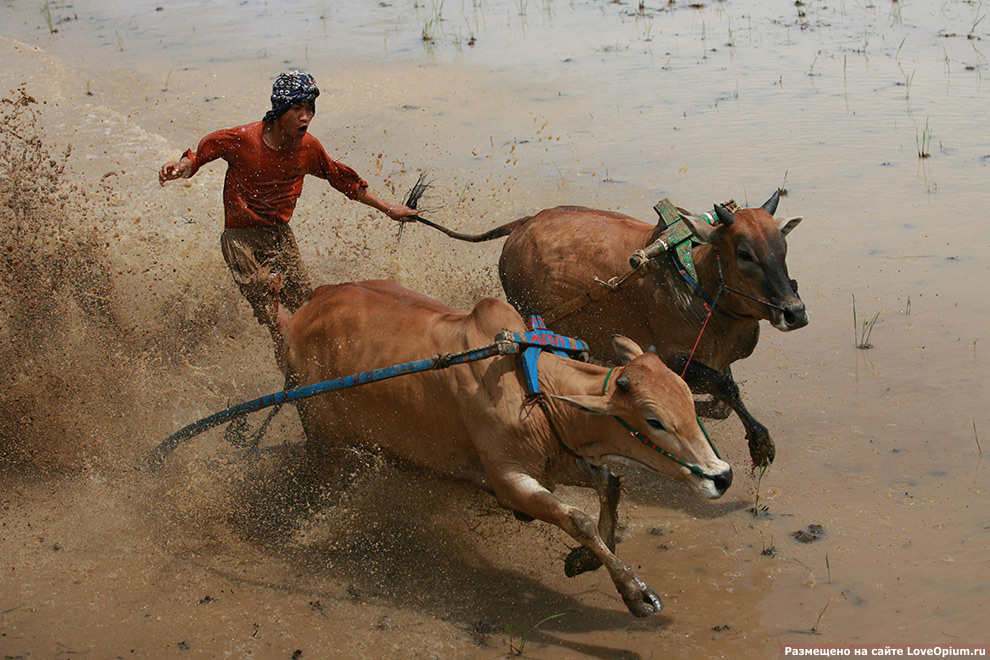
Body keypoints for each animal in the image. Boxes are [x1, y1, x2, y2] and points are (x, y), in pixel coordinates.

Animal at [278, 282, 728, 616]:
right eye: (654, 420)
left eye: (688, 398)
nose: (722, 476)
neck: (532, 383)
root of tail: (311, 301)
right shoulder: (509, 479)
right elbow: (577, 519)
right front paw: (635, 592)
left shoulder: (559, 459)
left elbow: (611, 485)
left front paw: (583, 561)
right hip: (327, 443)